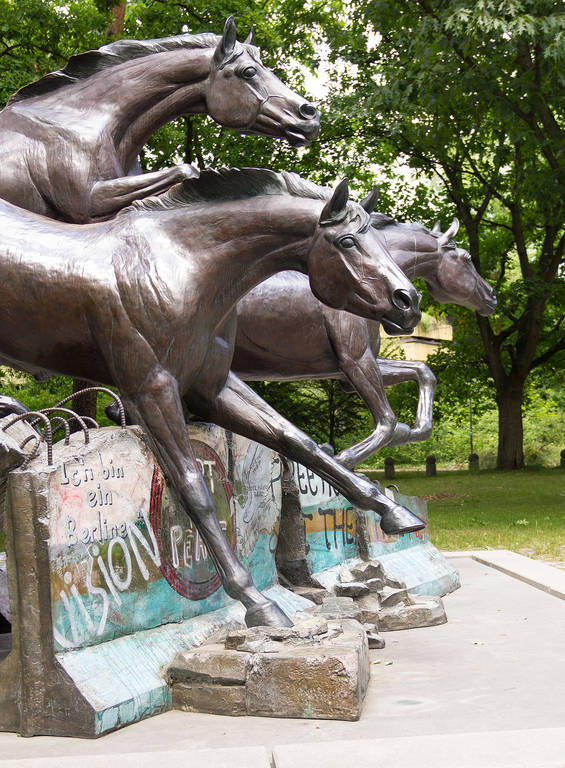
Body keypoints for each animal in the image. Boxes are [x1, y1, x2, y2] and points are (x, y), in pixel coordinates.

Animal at [0, 168, 420, 624]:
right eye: (347, 242)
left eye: (380, 241)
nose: (408, 302)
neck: (187, 270)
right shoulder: (152, 389)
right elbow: (194, 488)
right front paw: (256, 600)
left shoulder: (211, 387)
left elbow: (297, 440)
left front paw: (395, 512)